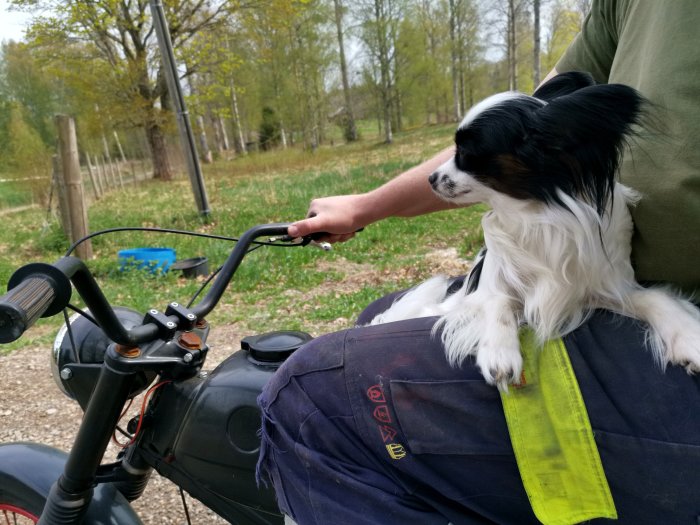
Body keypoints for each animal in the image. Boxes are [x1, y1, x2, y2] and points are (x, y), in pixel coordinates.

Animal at [370, 70, 696, 388]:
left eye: (466, 153)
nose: (431, 178)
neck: (533, 213)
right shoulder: (487, 288)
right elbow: (498, 301)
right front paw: (499, 351)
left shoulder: (602, 287)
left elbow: (652, 297)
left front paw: (687, 334)